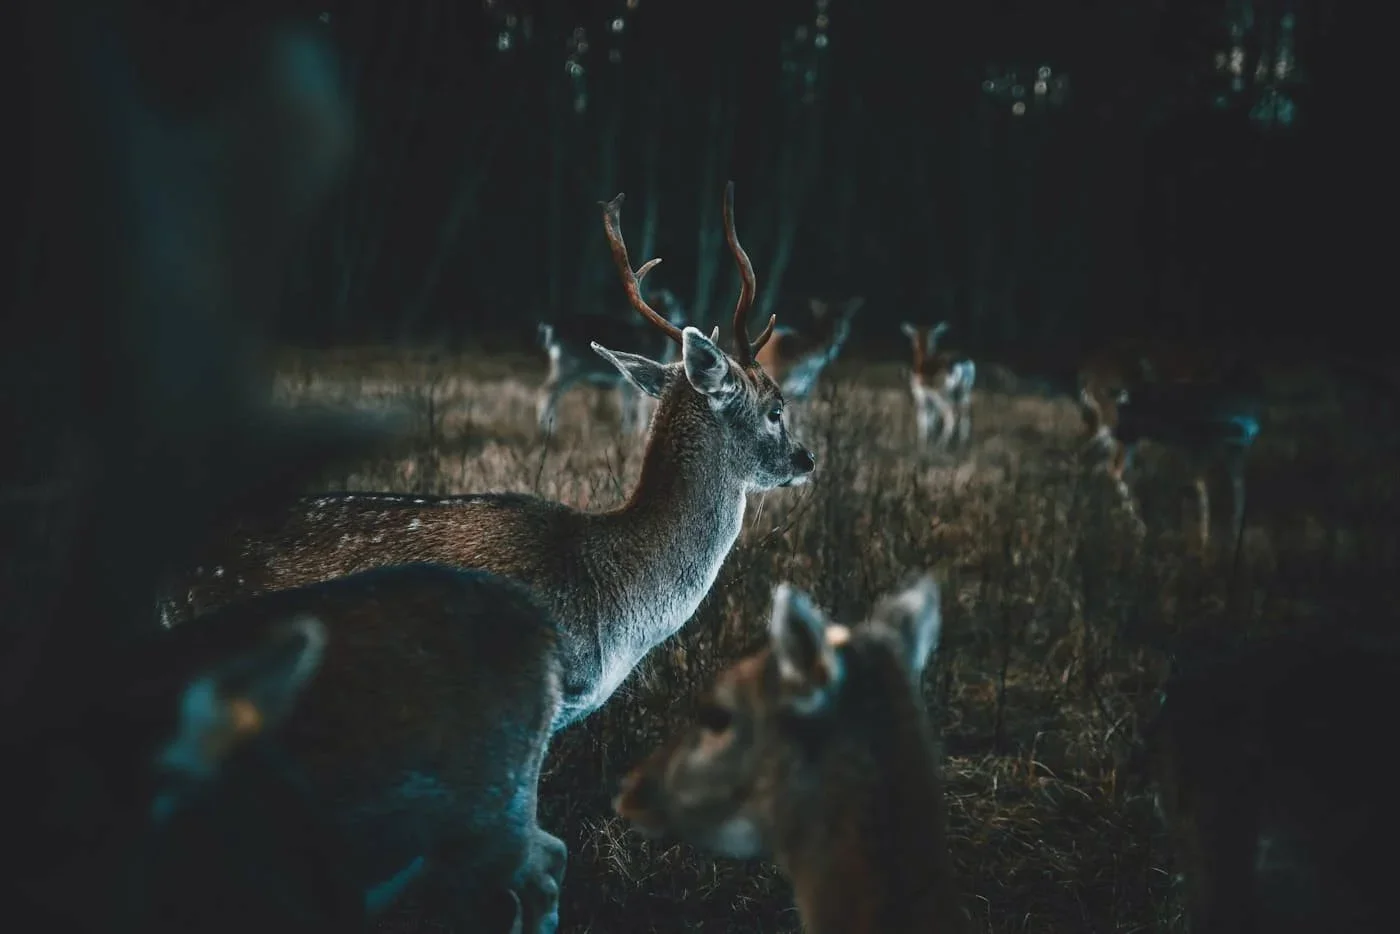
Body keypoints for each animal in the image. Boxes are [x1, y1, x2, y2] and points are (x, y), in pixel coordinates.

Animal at [536, 288, 687, 436]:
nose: (683, 319)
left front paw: (627, 432)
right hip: (569, 365)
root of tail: (550, 328)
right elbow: (637, 405)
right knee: (547, 390)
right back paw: (546, 429)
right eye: (674, 305)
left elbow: (628, 405)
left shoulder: (625, 381)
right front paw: (637, 432)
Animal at [900, 321, 977, 452]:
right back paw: (962, 446)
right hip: (965, 390)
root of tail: (962, 363)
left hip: (942, 393)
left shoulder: (920, 394)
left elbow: (923, 420)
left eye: (912, 337)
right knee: (965, 417)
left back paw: (940, 446)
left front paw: (922, 447)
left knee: (951, 415)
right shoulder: (929, 398)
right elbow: (932, 420)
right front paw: (929, 443)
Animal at [1077, 340, 1261, 552]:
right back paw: (1137, 529)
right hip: (1119, 430)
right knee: (1111, 467)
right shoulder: (1195, 448)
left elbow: (1239, 495)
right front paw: (1204, 544)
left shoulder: (1232, 454)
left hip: (1120, 432)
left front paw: (1232, 543)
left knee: (1099, 461)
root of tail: (1087, 374)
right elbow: (1203, 490)